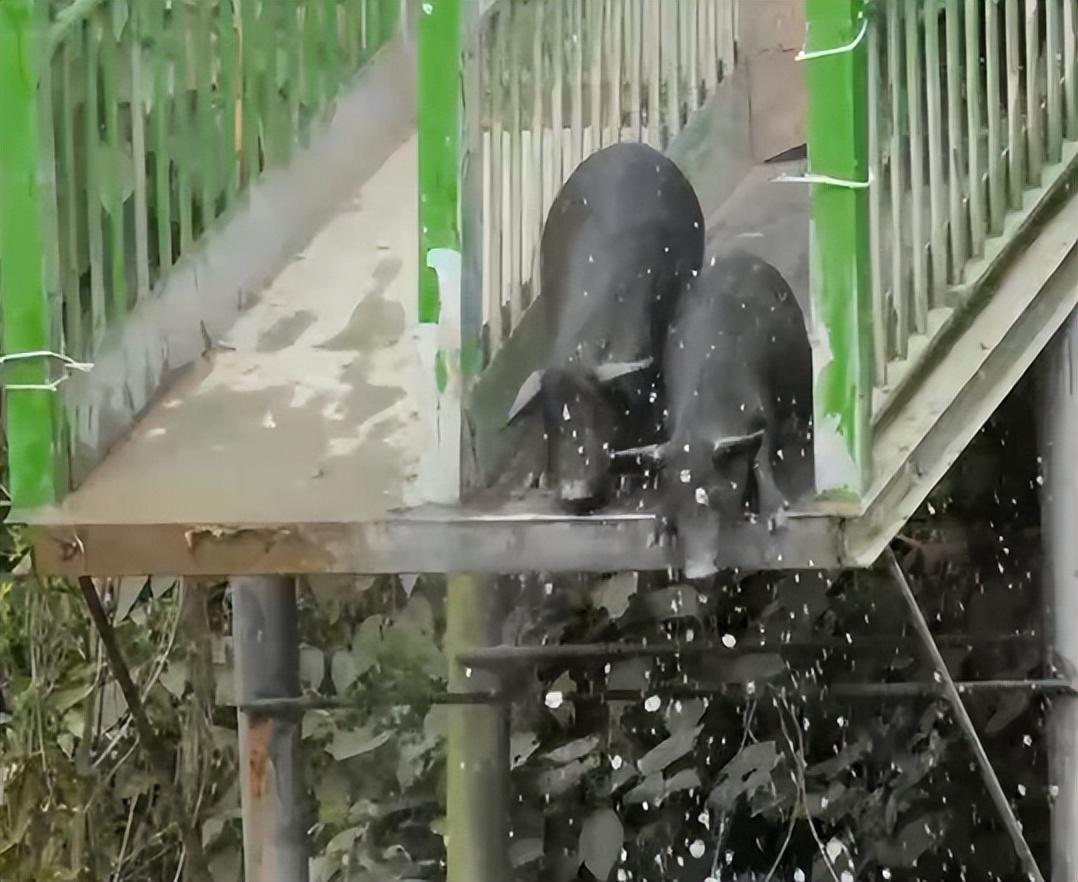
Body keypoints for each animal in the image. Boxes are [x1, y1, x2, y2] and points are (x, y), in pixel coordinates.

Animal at [506, 141, 707, 511]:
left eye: (597, 413)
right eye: (553, 421)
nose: (575, 493)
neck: (583, 351)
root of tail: (627, 145)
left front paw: (632, 482)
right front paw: (537, 480)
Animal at [625, 247, 814, 577]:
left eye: (711, 495)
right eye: (673, 500)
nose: (697, 572)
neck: (703, 424)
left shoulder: (759, 410)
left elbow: (761, 457)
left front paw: (777, 519)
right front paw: (657, 539)